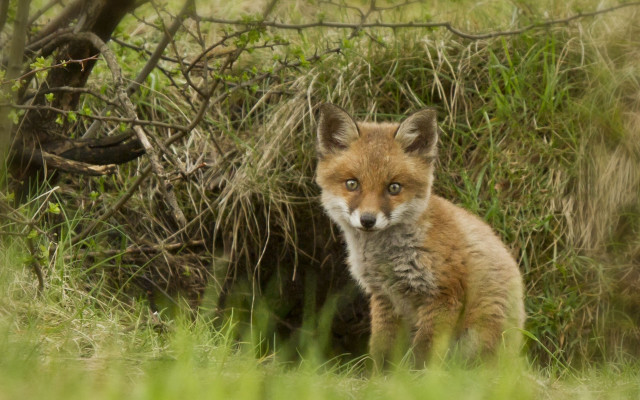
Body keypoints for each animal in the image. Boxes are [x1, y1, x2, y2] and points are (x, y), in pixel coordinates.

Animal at [315, 103, 525, 368]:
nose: (368, 220)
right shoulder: (384, 298)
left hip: (478, 334)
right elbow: (381, 349)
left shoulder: (443, 295)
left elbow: (424, 353)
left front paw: (421, 377)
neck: (388, 258)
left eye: (394, 188)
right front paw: (380, 377)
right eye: (352, 184)